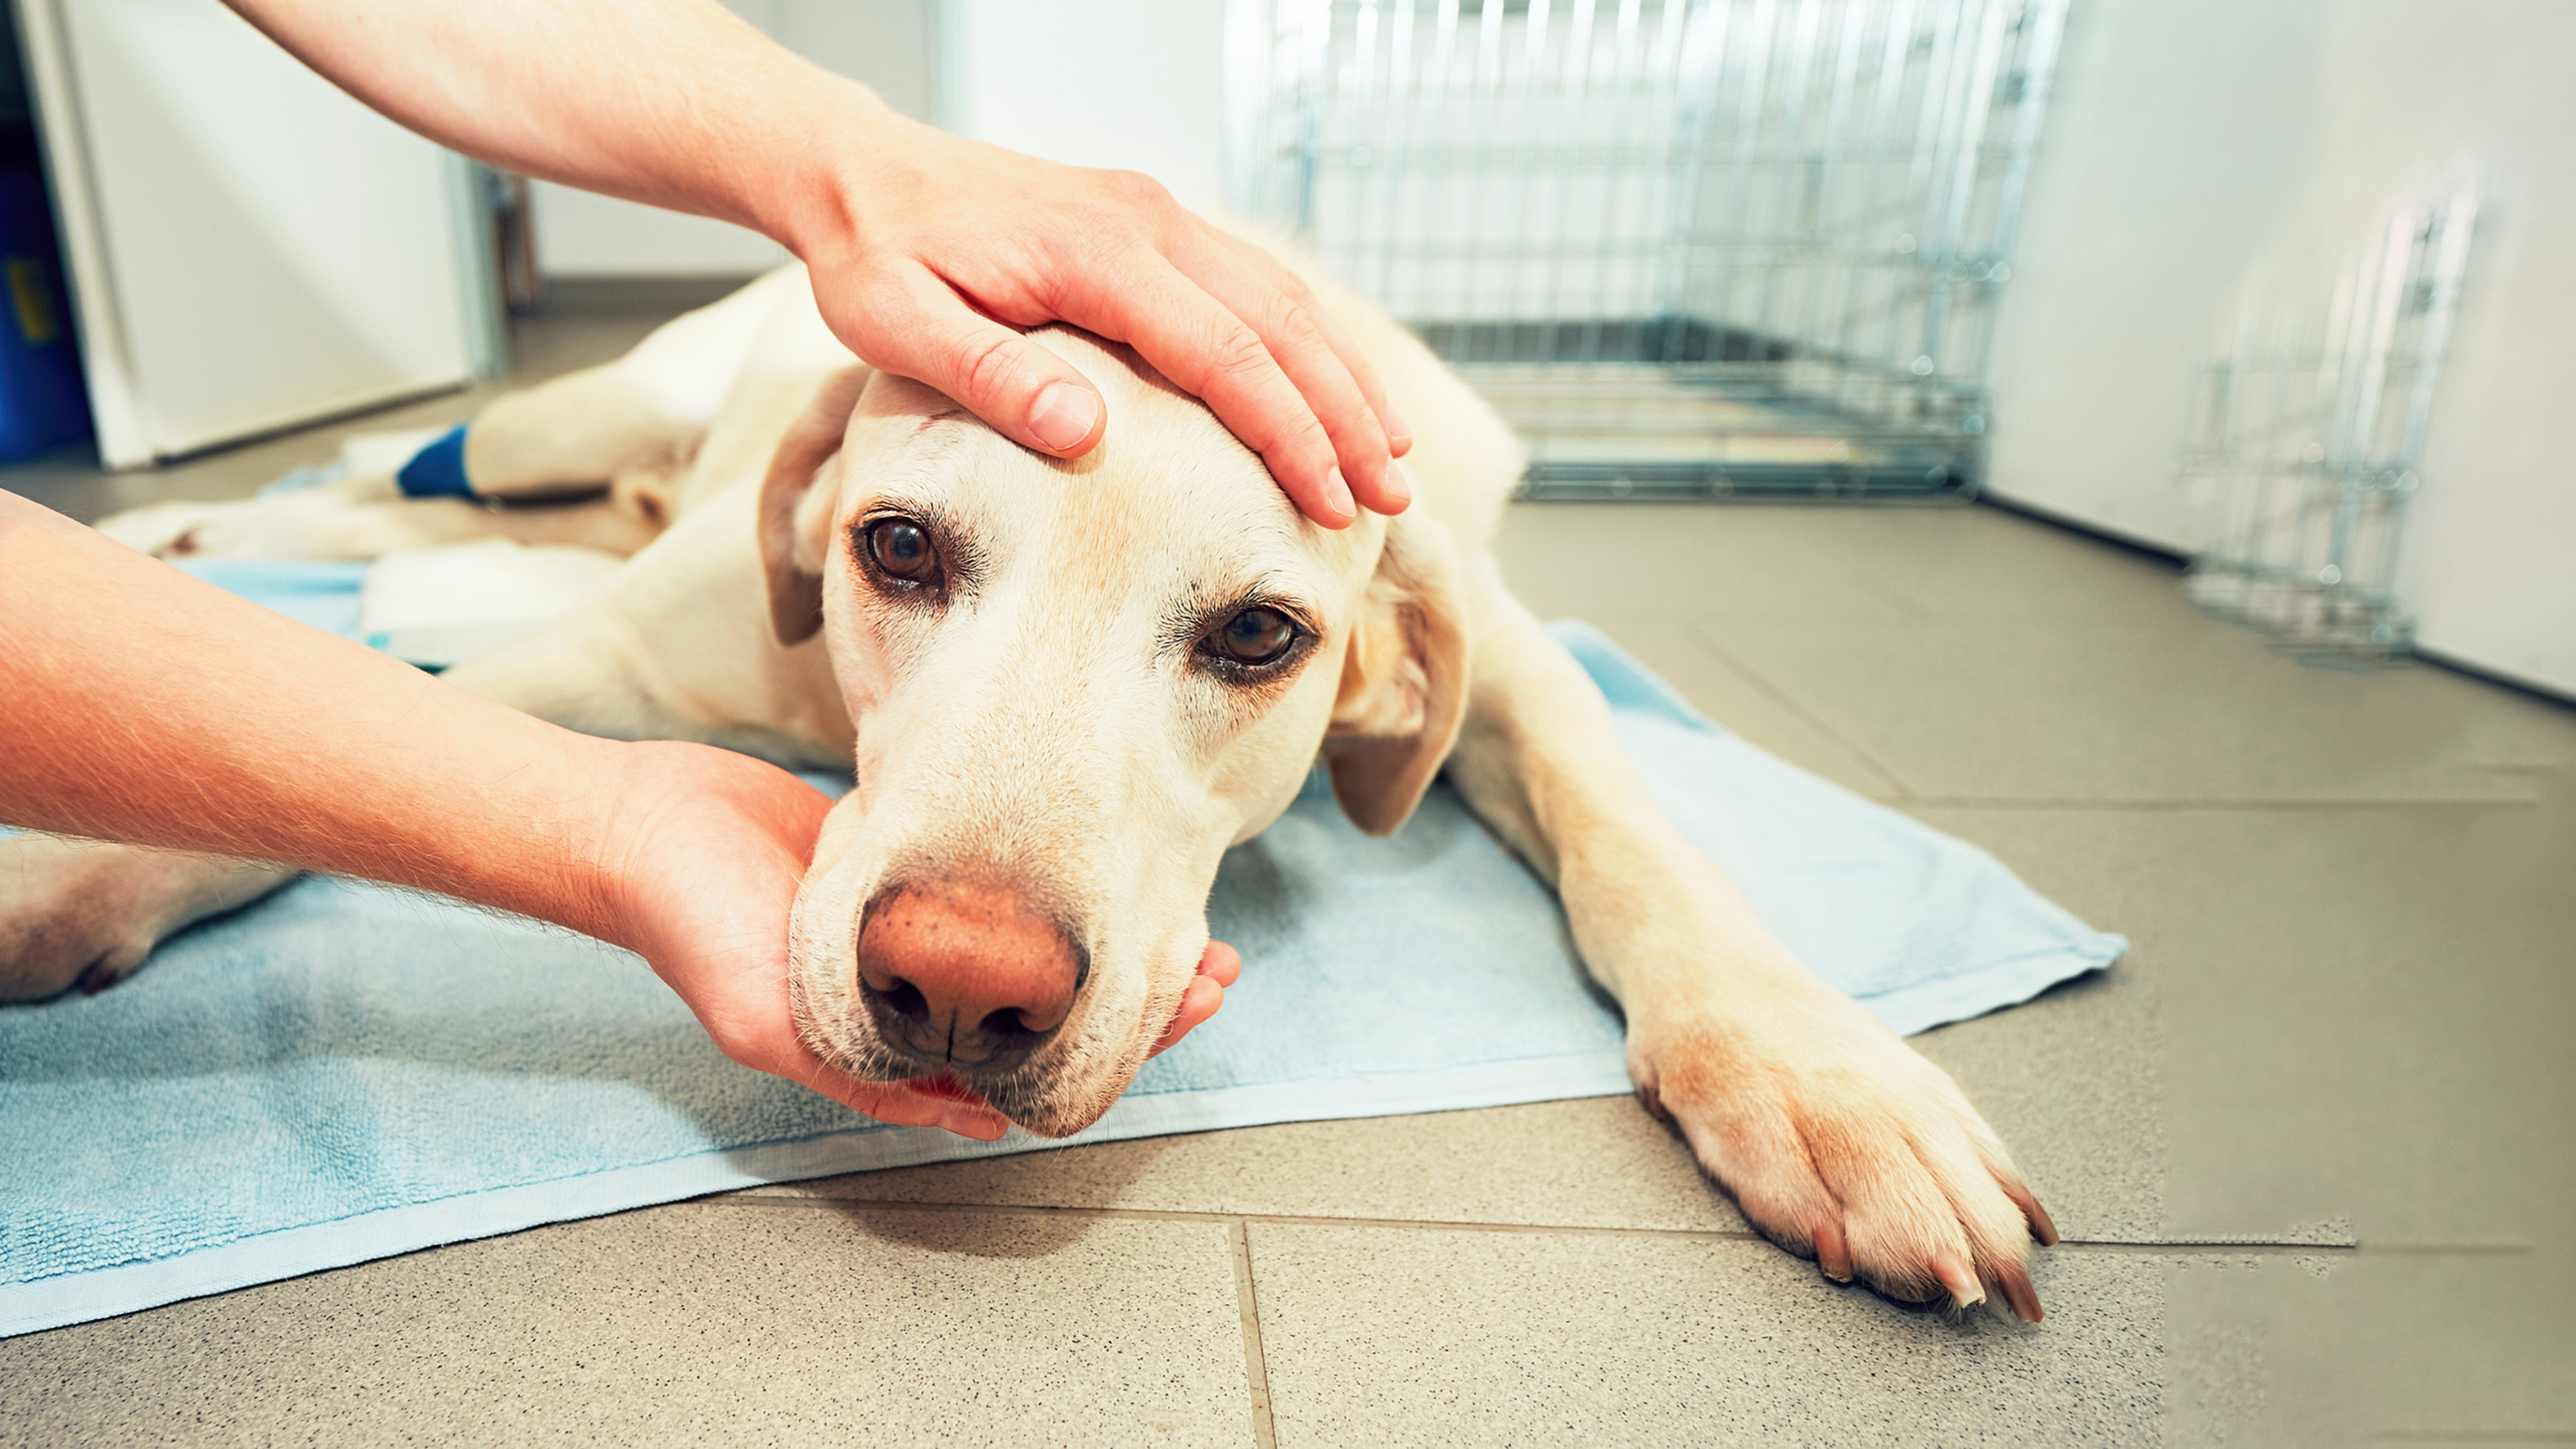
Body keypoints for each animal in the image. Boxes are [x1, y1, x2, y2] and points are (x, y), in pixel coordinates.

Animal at [5, 256, 2050, 1310]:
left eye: (1261, 636)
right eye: (898, 548)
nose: (957, 985)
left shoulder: (1507, 644)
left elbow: (1635, 826)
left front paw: (1820, 1079)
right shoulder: (603, 662)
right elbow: (327, 725)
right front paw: (73, 866)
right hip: (567, 414)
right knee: (421, 468)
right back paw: (226, 517)